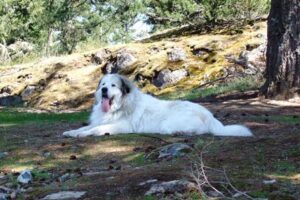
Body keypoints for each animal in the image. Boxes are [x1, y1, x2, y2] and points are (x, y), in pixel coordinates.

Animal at [63, 73, 253, 138]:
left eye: (113, 85)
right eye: (103, 84)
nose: (103, 90)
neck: (121, 105)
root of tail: (210, 116)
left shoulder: (121, 126)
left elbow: (95, 129)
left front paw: (82, 135)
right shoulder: (100, 121)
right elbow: (86, 127)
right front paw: (72, 132)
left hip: (168, 124)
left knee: (201, 131)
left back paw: (181, 132)